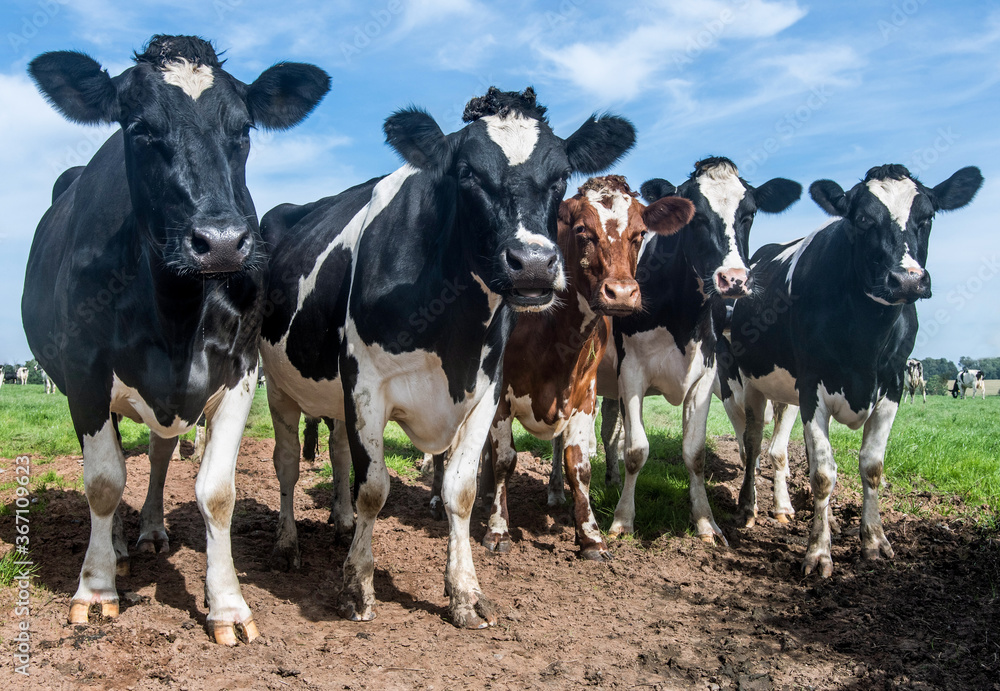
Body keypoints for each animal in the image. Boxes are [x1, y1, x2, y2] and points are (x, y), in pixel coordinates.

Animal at [21, 35, 330, 644]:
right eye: (139, 127)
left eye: (243, 129)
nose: (222, 242)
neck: (175, 312)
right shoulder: (85, 375)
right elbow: (102, 481)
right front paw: (95, 589)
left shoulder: (240, 369)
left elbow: (217, 491)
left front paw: (227, 605)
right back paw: (117, 547)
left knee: (161, 452)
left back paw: (149, 531)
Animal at [259, 87, 636, 628]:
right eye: (467, 173)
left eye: (561, 176)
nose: (533, 264)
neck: (451, 329)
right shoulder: (367, 386)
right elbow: (374, 488)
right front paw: (357, 587)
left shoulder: (485, 393)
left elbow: (461, 490)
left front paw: (465, 593)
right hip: (278, 384)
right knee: (288, 463)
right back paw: (287, 544)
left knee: (337, 453)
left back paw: (341, 523)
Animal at [595, 158, 801, 544]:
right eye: (695, 216)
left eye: (749, 213)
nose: (733, 279)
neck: (682, 318)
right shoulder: (631, 373)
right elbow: (636, 449)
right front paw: (622, 520)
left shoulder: (704, 377)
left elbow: (695, 453)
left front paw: (706, 522)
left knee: (609, 429)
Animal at [722, 163, 982, 577]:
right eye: (862, 219)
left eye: (927, 217)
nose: (907, 279)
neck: (866, 332)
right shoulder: (812, 386)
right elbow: (823, 474)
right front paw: (818, 552)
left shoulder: (892, 384)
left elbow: (871, 466)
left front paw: (873, 541)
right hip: (750, 382)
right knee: (753, 443)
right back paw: (749, 508)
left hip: (786, 390)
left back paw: (796, 510)